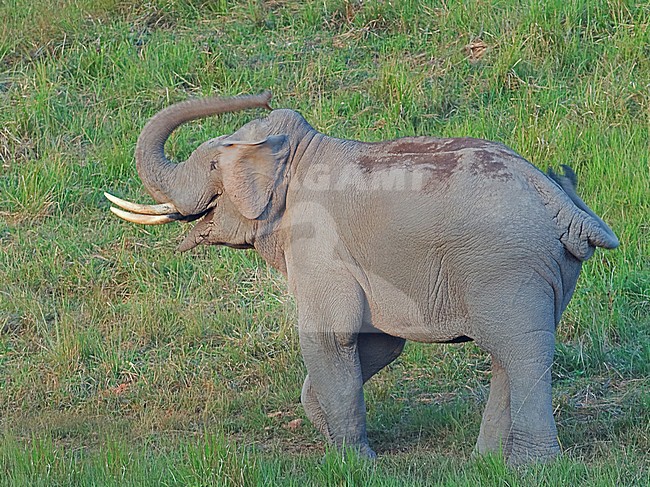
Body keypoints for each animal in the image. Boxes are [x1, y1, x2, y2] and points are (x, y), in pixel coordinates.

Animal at [105, 91, 618, 465]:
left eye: (214, 165)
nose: (264, 96)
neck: (300, 151)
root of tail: (560, 199)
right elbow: (378, 344)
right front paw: (335, 437)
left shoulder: (317, 245)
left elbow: (330, 338)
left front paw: (355, 463)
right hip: (542, 269)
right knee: (508, 353)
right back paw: (486, 464)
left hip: (506, 264)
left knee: (522, 351)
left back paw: (531, 468)